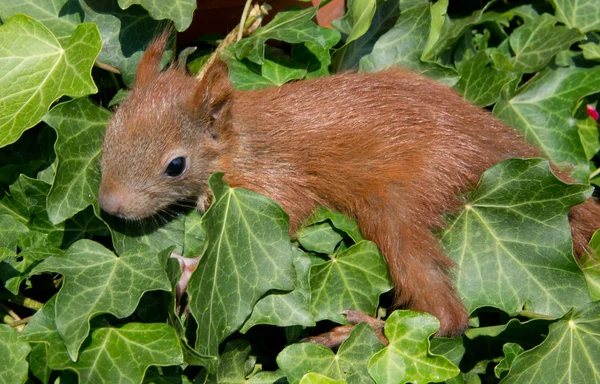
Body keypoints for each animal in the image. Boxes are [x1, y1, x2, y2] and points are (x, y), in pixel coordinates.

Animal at [98, 35, 600, 336]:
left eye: (175, 166)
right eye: (108, 130)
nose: (109, 206)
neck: (239, 140)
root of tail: (499, 149)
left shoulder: (271, 184)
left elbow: (288, 216)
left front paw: (190, 269)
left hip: (400, 201)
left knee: (450, 317)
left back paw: (361, 332)